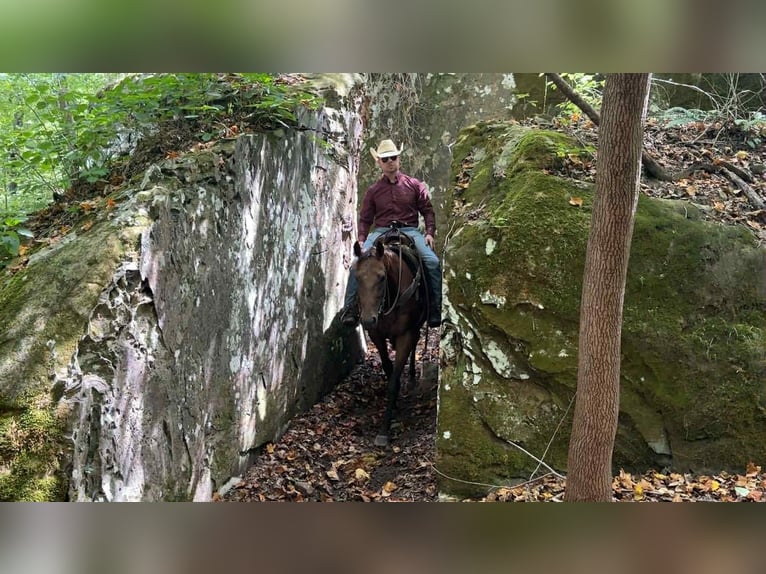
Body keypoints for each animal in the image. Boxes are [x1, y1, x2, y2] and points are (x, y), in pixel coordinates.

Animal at [353, 231, 428, 447]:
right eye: (357, 277)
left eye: (382, 277)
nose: (367, 320)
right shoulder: (376, 335)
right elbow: (388, 369)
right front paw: (394, 407)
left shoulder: (405, 335)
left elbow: (393, 382)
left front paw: (384, 429)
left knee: (416, 343)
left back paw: (412, 376)